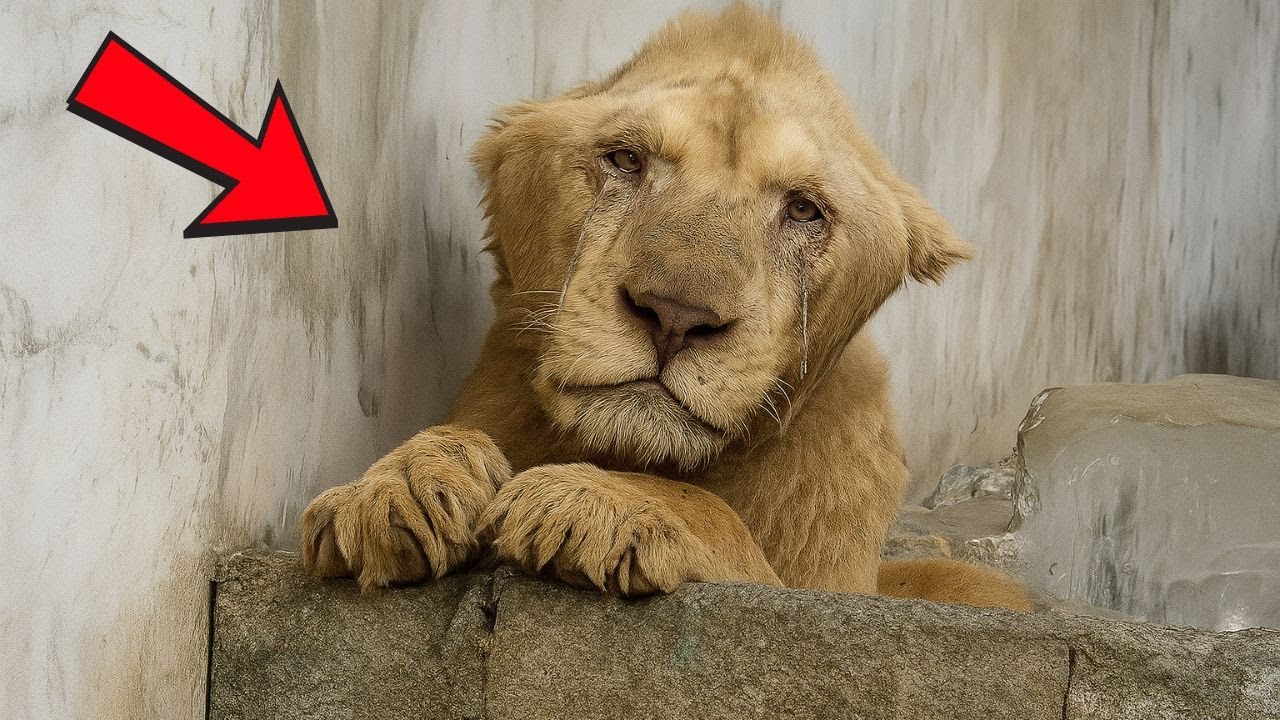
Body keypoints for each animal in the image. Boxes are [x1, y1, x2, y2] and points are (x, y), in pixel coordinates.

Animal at [301, 4, 1030, 612]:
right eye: (625, 159)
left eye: (803, 209)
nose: (676, 317)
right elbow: (443, 444)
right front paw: (394, 488)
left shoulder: (828, 589)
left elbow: (704, 506)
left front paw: (597, 499)